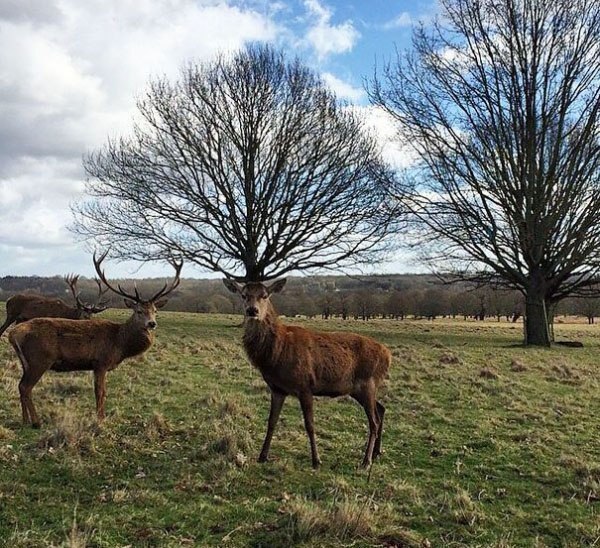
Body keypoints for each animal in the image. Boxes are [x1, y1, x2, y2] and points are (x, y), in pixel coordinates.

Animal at [8, 253, 182, 428]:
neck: (120, 343)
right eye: (138, 311)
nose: (151, 324)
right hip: (40, 359)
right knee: (26, 387)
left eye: (155, 311)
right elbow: (100, 392)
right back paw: (36, 422)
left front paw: (101, 418)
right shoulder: (100, 362)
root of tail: (13, 334)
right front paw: (101, 420)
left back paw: (25, 420)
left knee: (21, 385)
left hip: (26, 362)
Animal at [223, 280, 392, 468]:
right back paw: (376, 453)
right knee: (381, 409)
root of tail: (388, 356)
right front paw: (262, 456)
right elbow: (271, 421)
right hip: (360, 389)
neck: (276, 353)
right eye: (243, 295)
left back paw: (366, 461)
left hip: (367, 383)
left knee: (374, 421)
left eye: (265, 295)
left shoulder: (305, 386)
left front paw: (316, 460)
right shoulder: (277, 389)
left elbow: (309, 424)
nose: (252, 310)